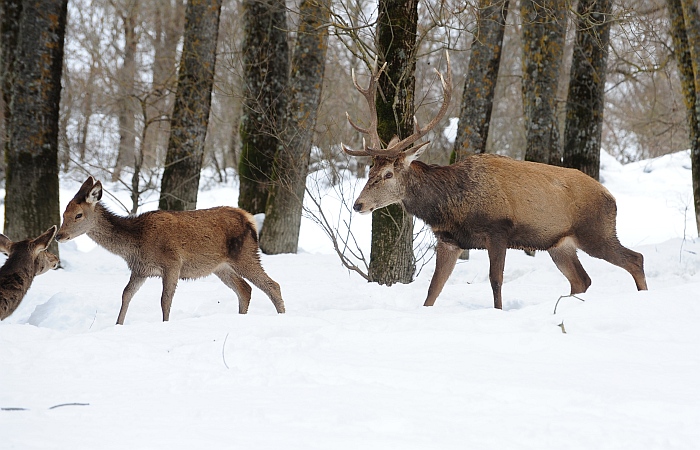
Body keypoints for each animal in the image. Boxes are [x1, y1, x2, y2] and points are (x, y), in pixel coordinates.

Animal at [55, 178, 284, 326]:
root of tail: (250, 220)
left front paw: (165, 325)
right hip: (221, 267)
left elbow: (165, 300)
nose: (59, 235)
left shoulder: (172, 263)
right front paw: (117, 325)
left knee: (272, 285)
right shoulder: (141, 269)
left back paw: (283, 318)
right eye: (63, 212)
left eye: (78, 215)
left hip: (245, 255)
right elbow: (126, 294)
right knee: (245, 289)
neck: (135, 243)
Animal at [342, 51, 648, 308]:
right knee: (582, 280)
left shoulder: (498, 230)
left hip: (596, 231)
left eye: (388, 173)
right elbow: (433, 289)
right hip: (560, 244)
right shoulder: (450, 240)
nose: (358, 205)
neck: (453, 206)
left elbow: (495, 281)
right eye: (369, 171)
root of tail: (611, 198)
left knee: (635, 259)